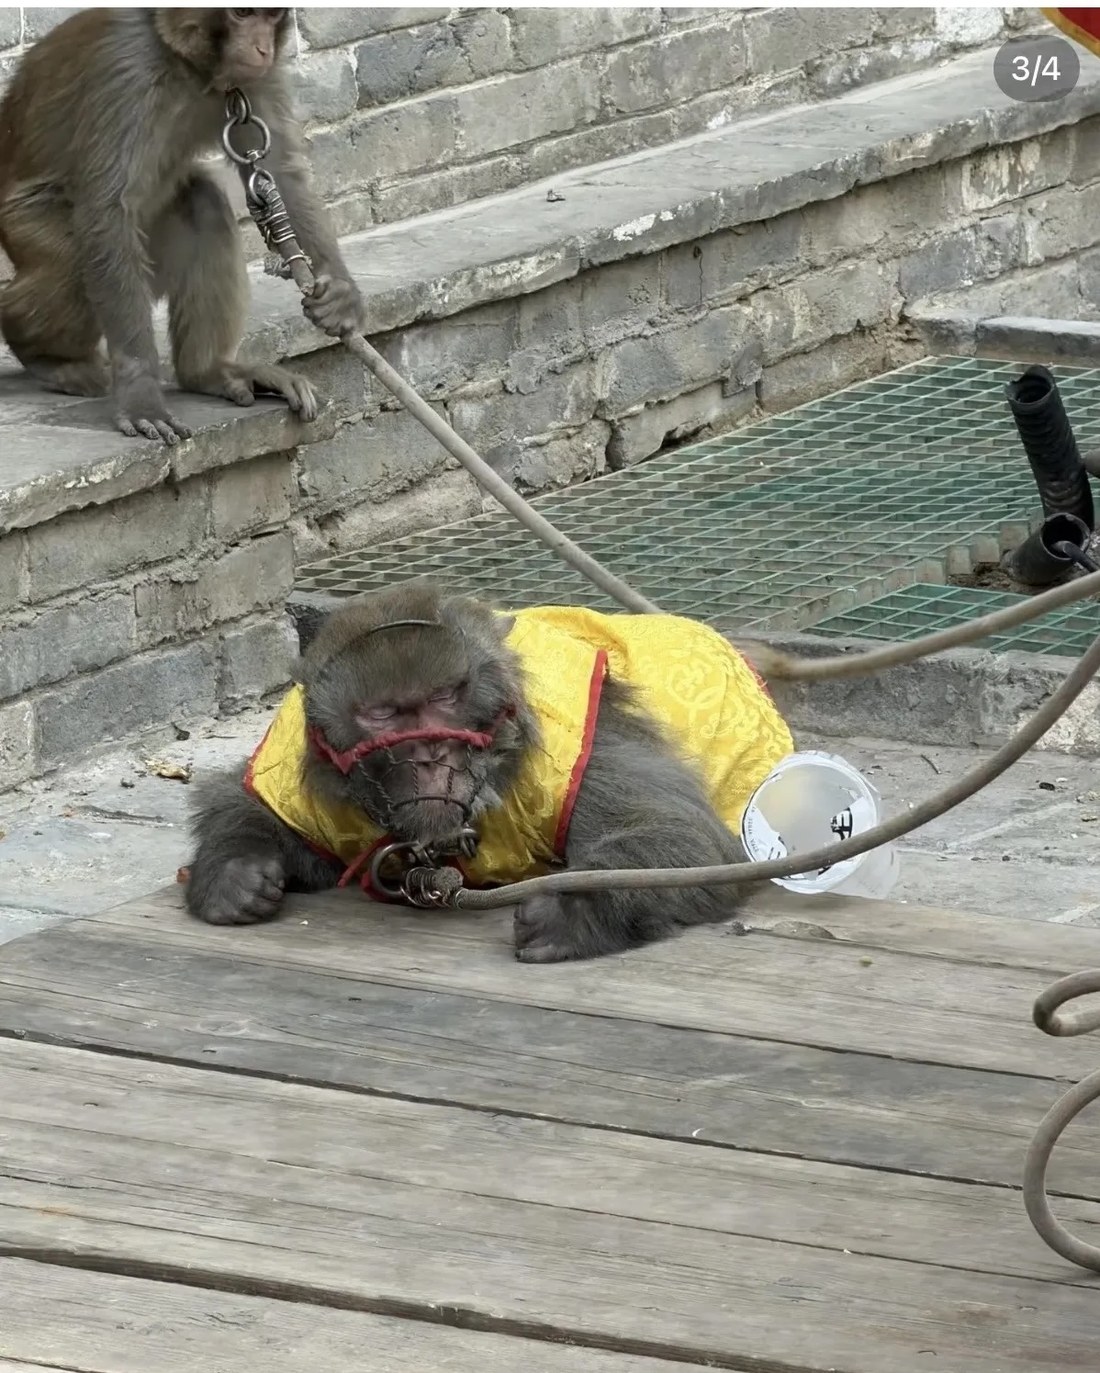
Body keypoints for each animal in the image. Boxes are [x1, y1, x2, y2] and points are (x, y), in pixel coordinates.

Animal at [0, 8, 367, 445]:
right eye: (241, 13)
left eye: (271, 16)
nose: (263, 48)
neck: (186, 65)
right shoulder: (127, 70)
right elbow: (108, 212)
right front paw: (141, 394)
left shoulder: (253, 80)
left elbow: (282, 175)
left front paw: (341, 297)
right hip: (23, 221)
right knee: (75, 259)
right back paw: (42, 353)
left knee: (203, 204)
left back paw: (208, 372)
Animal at [182, 580, 797, 962]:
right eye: (384, 714)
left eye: (444, 698)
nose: (429, 755)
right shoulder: (307, 772)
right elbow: (247, 802)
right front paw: (235, 870)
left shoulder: (586, 748)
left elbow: (684, 838)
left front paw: (572, 912)